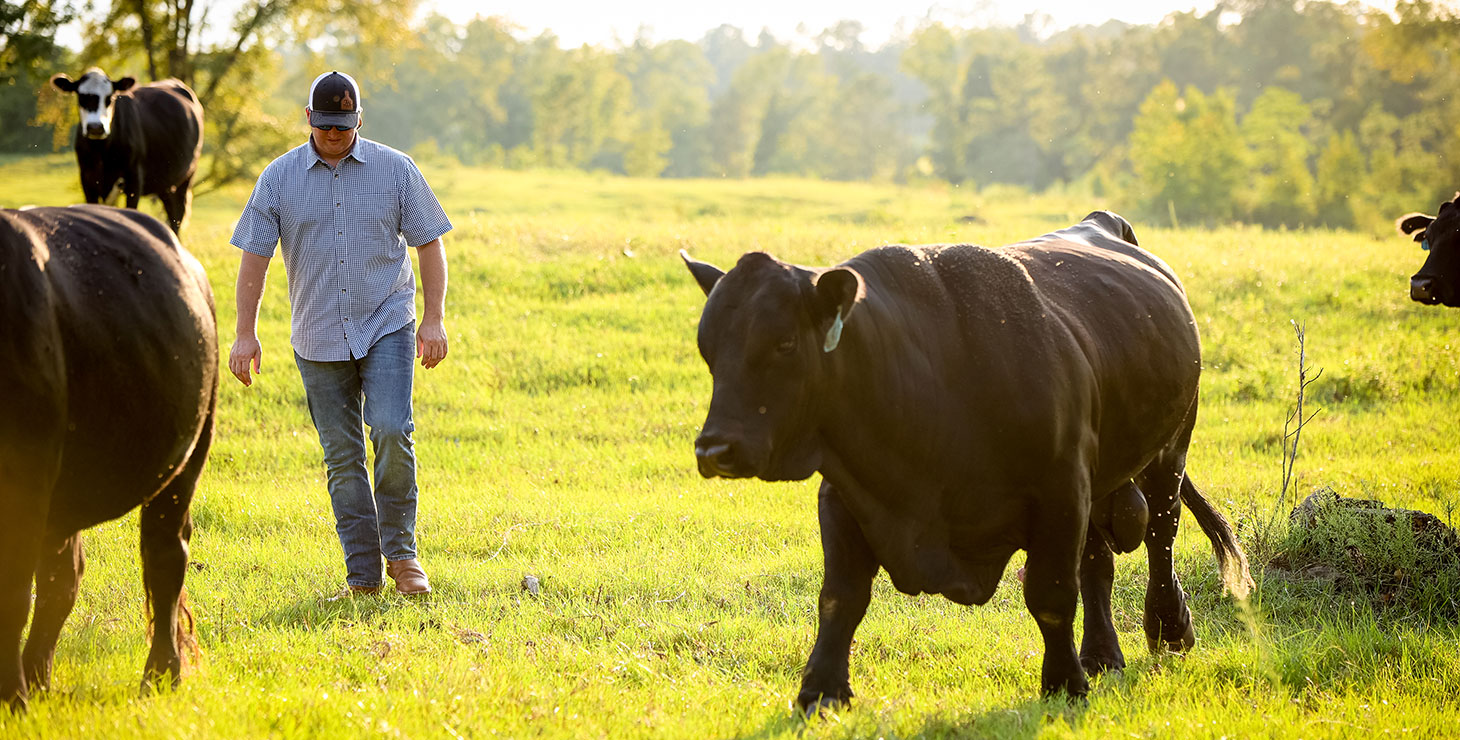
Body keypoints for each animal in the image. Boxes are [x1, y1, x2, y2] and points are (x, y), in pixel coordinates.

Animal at [0, 204, 216, 712]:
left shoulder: (25, 477)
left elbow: (11, 595)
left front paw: (12, 701)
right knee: (63, 578)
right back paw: (38, 678)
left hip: (185, 461)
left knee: (164, 558)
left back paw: (160, 674)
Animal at [49, 68, 205, 234]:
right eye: (81, 96)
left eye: (110, 97)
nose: (95, 127)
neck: (101, 153)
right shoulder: (87, 179)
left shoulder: (134, 179)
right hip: (166, 182)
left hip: (187, 176)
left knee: (178, 215)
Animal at [683, 211, 1255, 709]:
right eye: (708, 350)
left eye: (784, 344)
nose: (715, 449)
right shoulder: (846, 493)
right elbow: (840, 599)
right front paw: (820, 692)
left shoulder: (1060, 492)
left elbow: (1050, 594)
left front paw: (1064, 685)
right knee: (1100, 561)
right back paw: (1101, 654)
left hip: (1169, 448)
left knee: (1161, 534)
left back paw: (1168, 627)